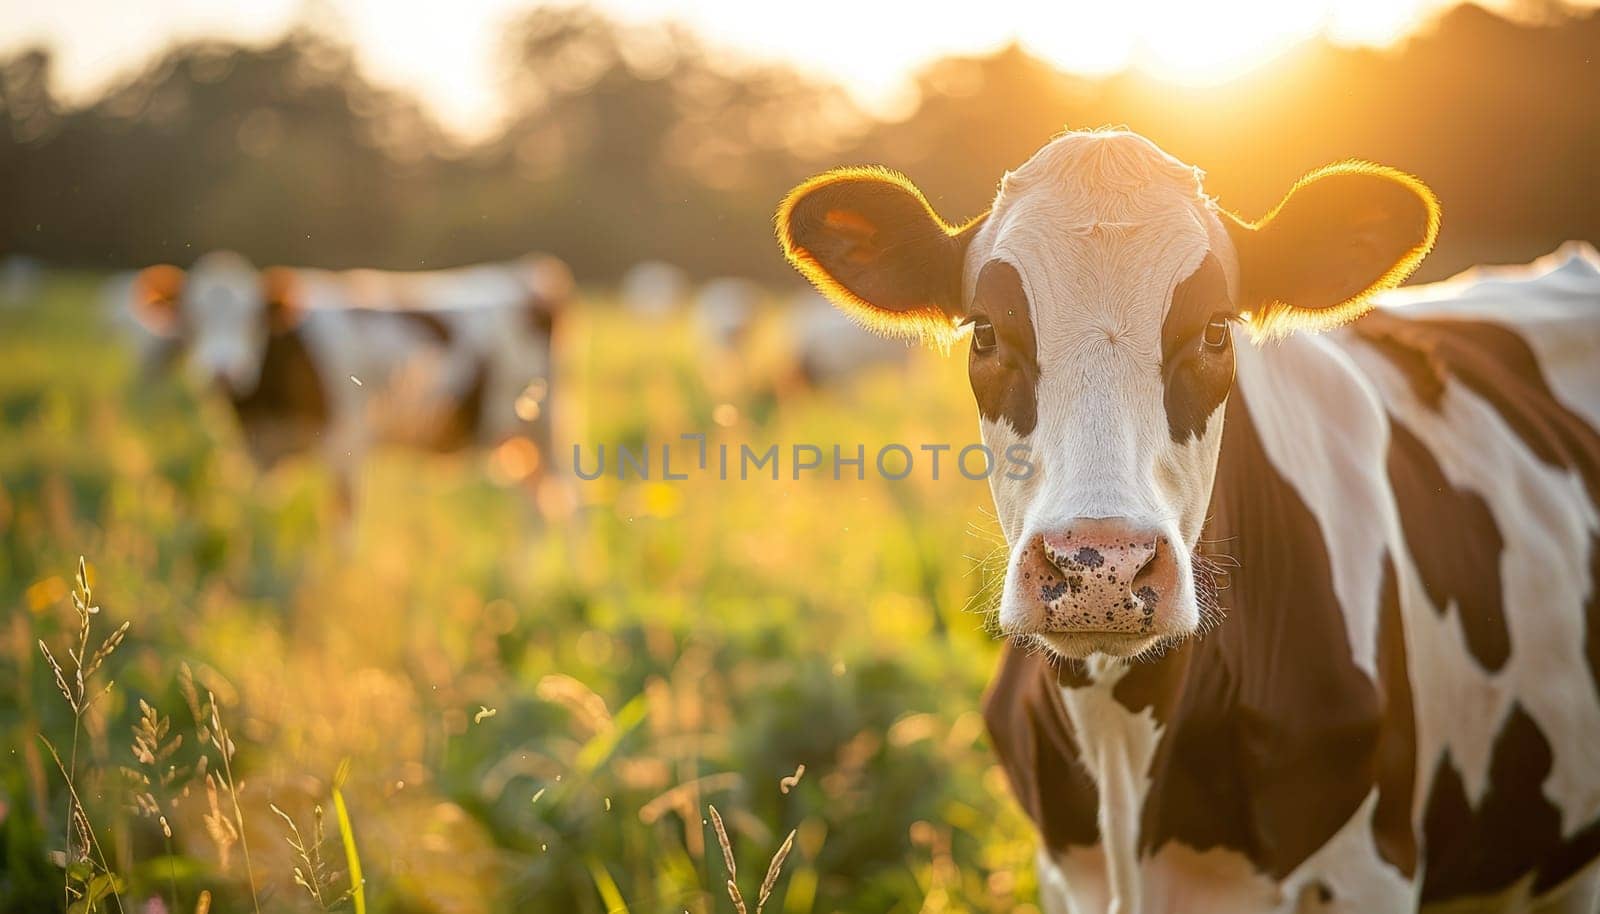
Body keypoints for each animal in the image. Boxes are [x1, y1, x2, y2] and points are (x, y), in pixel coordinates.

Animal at [131, 249, 572, 518]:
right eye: (192, 319)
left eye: (253, 320)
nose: (223, 372)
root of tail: (528, 270)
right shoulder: (260, 455)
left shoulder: (346, 441)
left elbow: (340, 521)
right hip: (515, 440)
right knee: (535, 504)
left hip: (547, 427)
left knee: (566, 504)